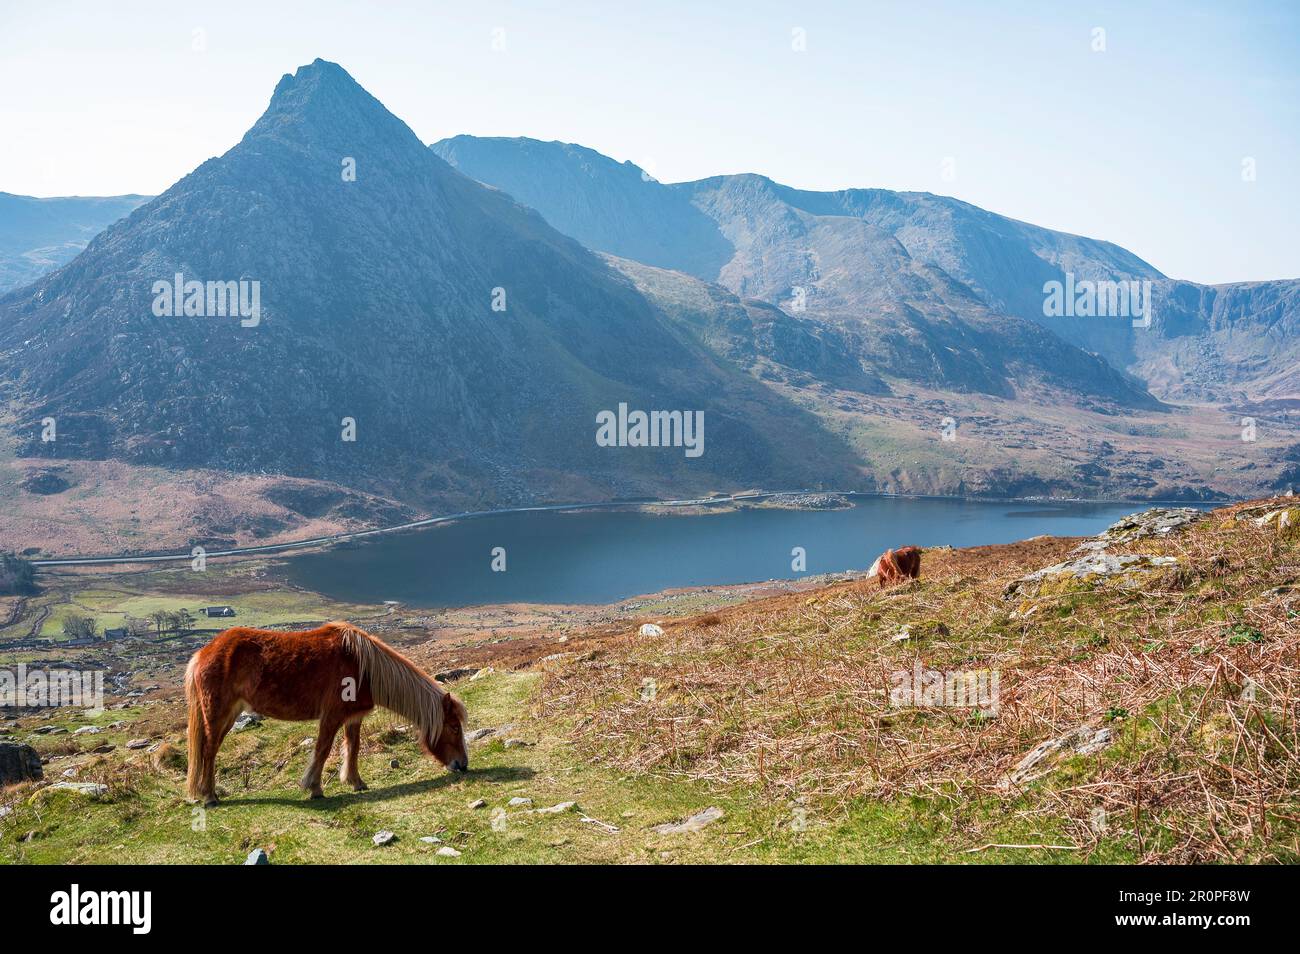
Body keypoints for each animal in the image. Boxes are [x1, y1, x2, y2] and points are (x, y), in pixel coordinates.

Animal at [183, 621, 467, 805]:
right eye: (454, 727)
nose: (463, 765)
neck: (362, 665)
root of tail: (203, 653)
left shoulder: (354, 717)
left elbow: (353, 747)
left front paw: (356, 782)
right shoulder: (331, 716)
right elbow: (323, 749)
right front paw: (315, 788)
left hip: (229, 716)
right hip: (217, 713)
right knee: (209, 750)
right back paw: (209, 797)